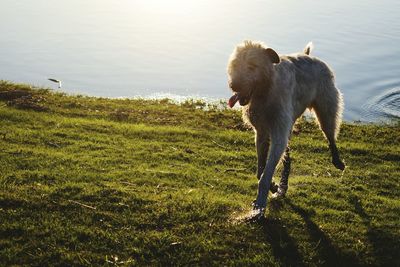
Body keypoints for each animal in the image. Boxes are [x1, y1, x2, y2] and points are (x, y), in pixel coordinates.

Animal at [227, 41, 346, 218]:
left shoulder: (278, 133)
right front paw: (275, 186)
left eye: (252, 65)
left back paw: (337, 159)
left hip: (326, 107)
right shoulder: (261, 132)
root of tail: (310, 56)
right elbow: (260, 170)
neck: (266, 89)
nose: (234, 85)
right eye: (235, 64)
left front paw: (260, 204)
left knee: (330, 133)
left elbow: (266, 172)